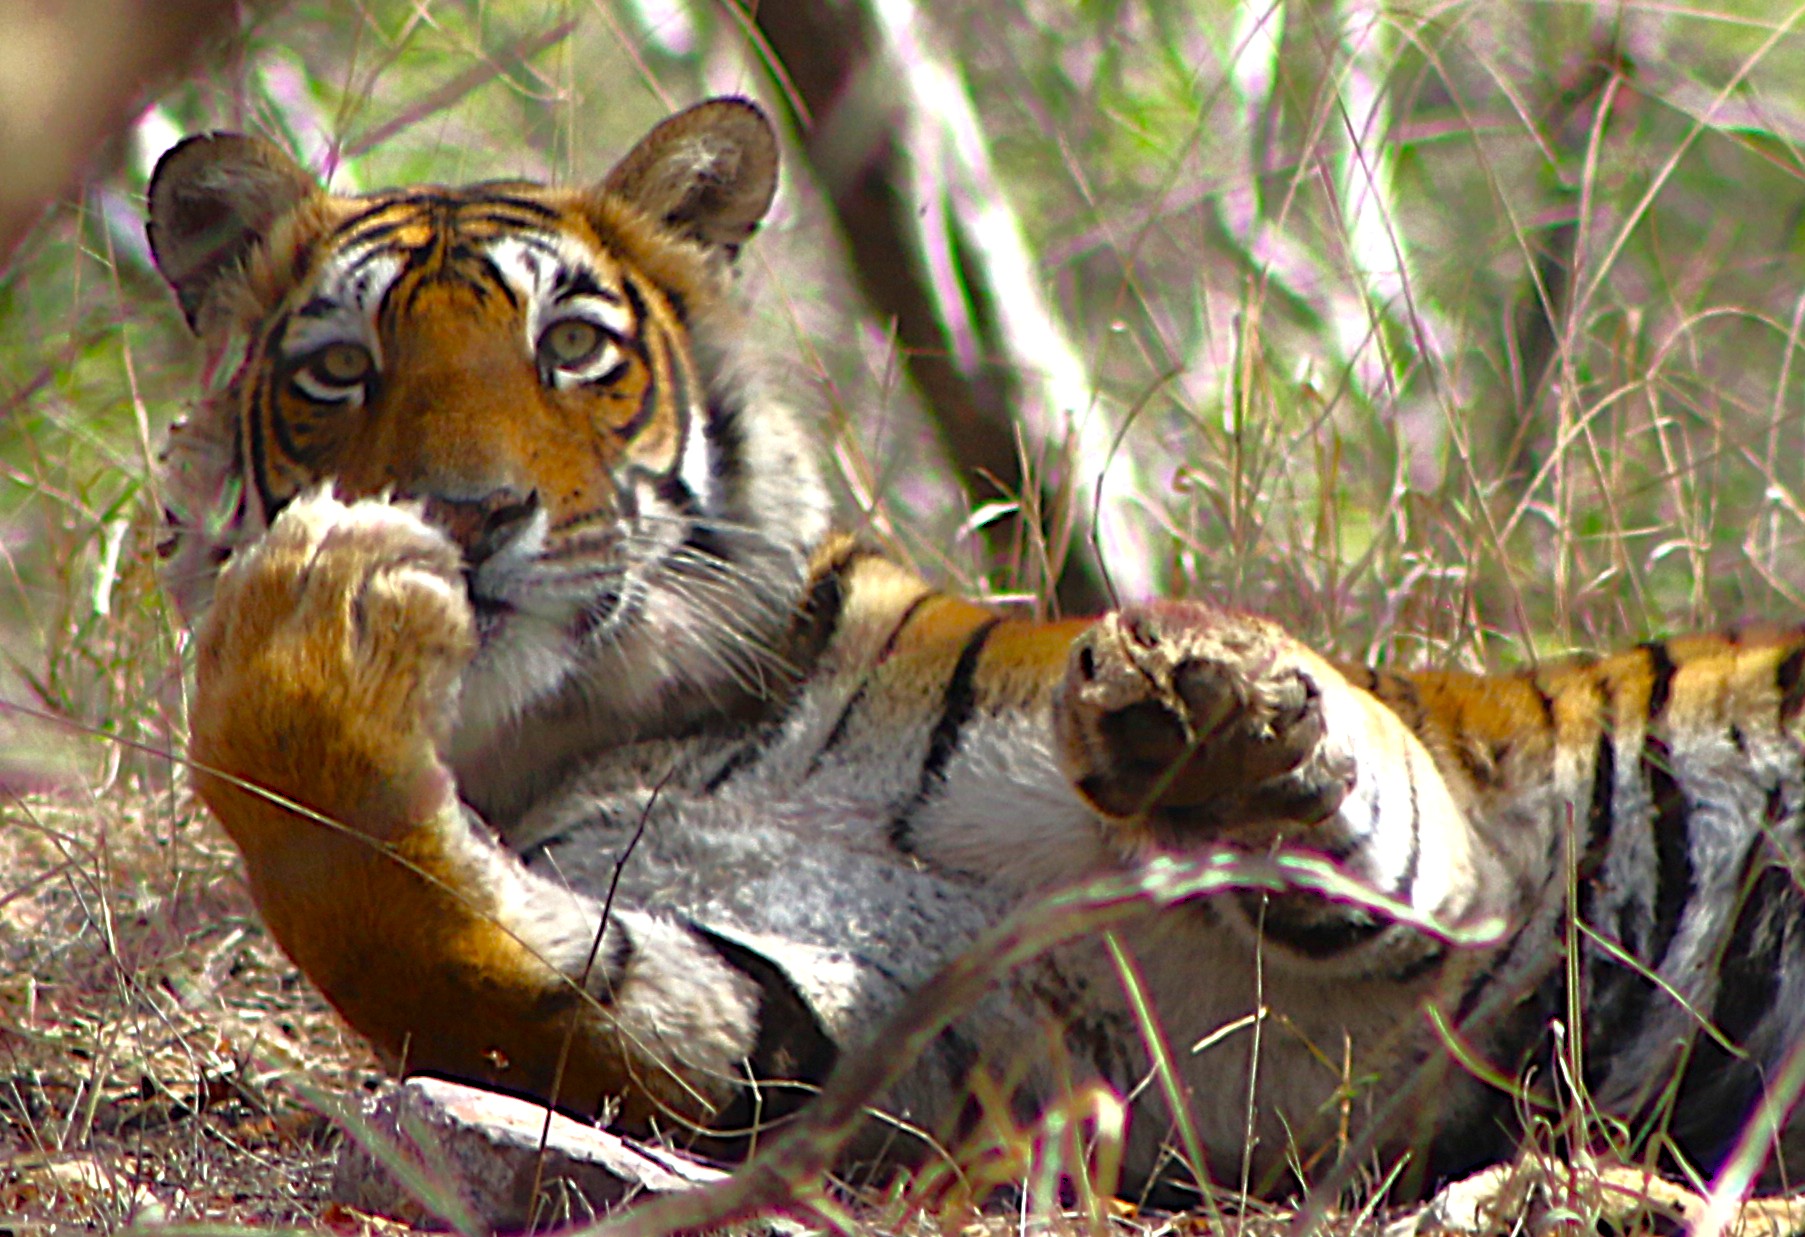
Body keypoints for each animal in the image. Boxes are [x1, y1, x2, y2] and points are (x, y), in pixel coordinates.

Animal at [148, 96, 1805, 1199]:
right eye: (340, 371)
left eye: (572, 350)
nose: (464, 513)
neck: (616, 713)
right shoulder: (864, 1030)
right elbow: (413, 936)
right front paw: (316, 630)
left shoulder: (1460, 837)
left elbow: (1373, 808)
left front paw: (1210, 724)